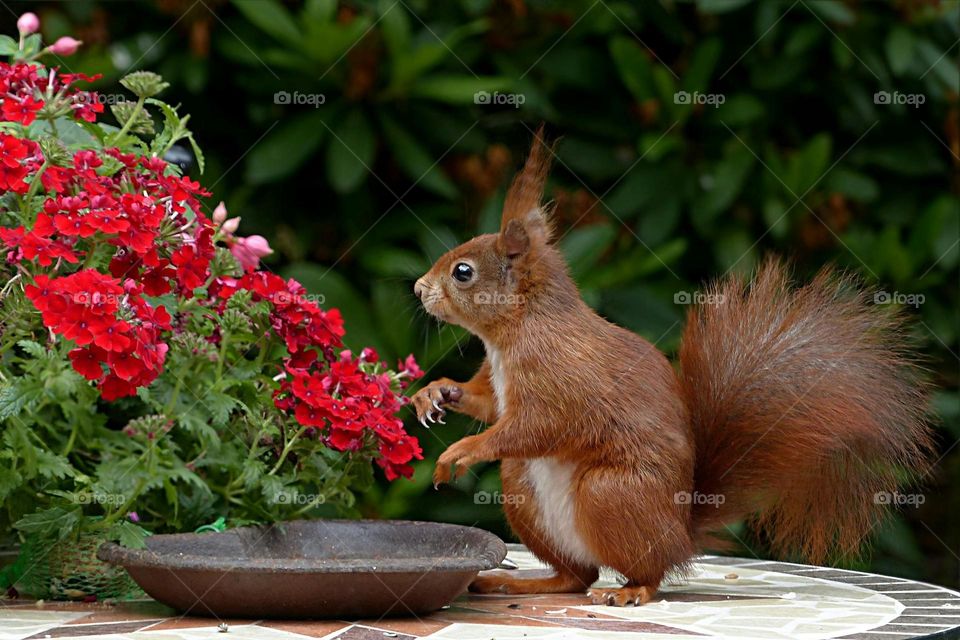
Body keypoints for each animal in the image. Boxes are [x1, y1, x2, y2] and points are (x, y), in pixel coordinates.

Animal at [411, 129, 933, 606]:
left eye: (463, 272)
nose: (418, 288)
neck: (515, 331)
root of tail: (682, 533)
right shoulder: (499, 382)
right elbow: (487, 403)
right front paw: (435, 393)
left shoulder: (562, 376)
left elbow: (539, 425)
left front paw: (463, 450)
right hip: (522, 487)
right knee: (575, 576)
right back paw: (520, 581)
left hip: (611, 493)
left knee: (646, 571)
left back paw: (629, 589)